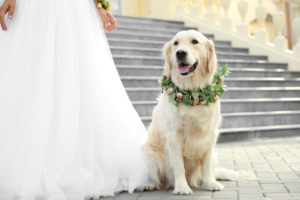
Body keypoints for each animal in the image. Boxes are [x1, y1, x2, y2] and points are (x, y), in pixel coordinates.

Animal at [142, 30, 238, 195]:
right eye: (175, 43)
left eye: (195, 41)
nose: (180, 53)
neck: (192, 94)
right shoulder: (174, 136)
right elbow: (178, 165)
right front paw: (181, 187)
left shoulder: (210, 135)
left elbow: (206, 165)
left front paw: (210, 183)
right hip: (150, 153)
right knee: (157, 178)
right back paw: (150, 185)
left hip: (214, 156)